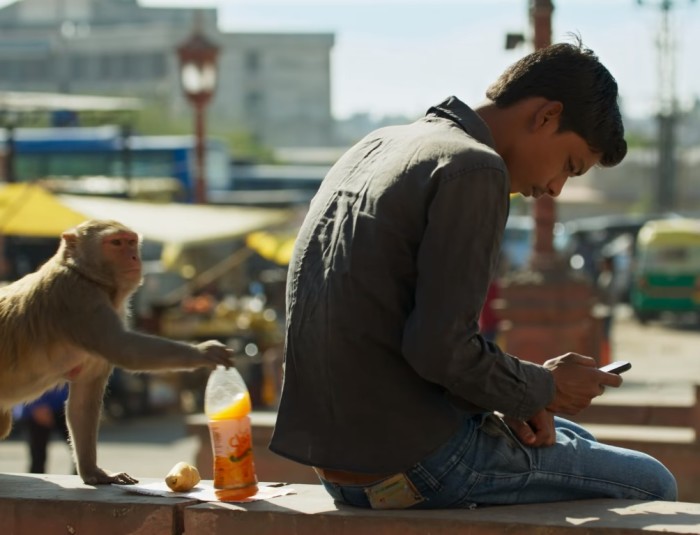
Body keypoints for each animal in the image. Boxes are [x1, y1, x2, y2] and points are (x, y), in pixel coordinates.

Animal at [0, 218, 235, 486]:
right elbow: (124, 349)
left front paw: (93, 472)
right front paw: (205, 352)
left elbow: (83, 400)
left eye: (131, 242)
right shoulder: (79, 298)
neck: (87, 276)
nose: (134, 257)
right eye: (115, 243)